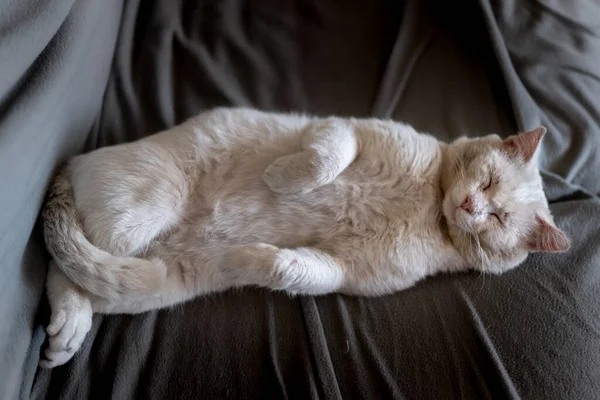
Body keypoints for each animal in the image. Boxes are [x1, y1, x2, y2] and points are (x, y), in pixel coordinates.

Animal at [39, 107, 568, 368]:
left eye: (498, 218)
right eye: (488, 183)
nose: (471, 207)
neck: (430, 205)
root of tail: (75, 161)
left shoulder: (341, 272)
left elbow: (286, 267)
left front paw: (242, 257)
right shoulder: (341, 129)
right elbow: (323, 161)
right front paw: (279, 179)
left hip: (151, 281)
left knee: (75, 276)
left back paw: (66, 335)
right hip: (142, 217)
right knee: (61, 256)